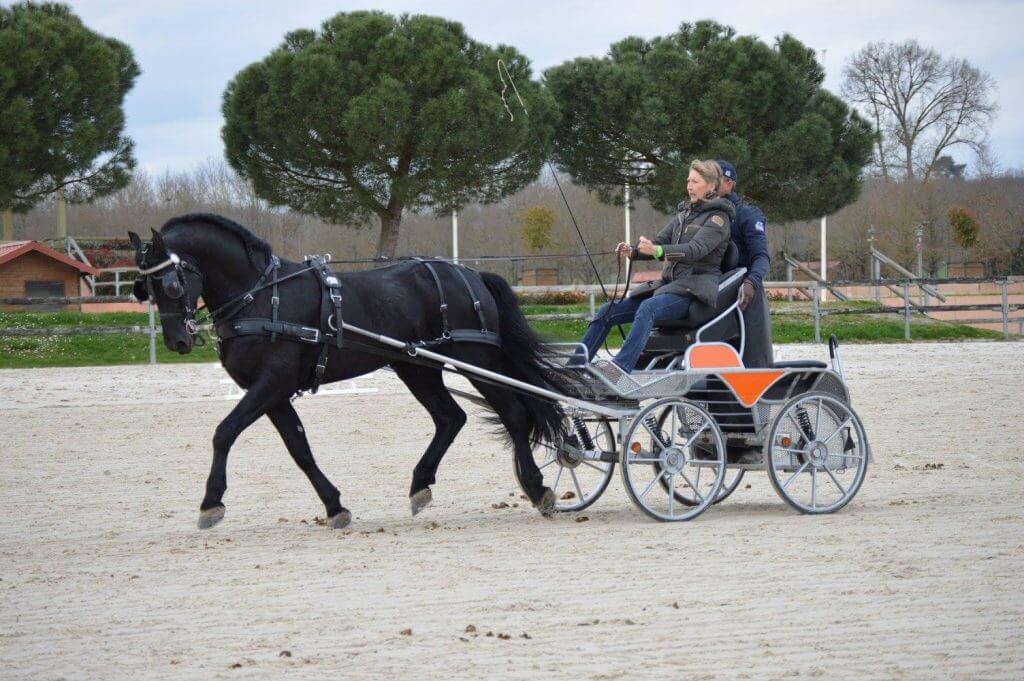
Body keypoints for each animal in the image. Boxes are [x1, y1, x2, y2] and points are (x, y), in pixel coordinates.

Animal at [129, 215, 569, 528]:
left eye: (171, 285)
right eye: (143, 288)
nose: (178, 341)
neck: (261, 296)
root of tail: (471, 274)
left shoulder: (272, 383)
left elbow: (224, 433)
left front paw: (211, 502)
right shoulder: (271, 392)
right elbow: (299, 447)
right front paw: (334, 505)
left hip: (477, 360)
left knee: (513, 414)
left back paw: (537, 488)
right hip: (416, 367)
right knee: (450, 417)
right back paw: (420, 484)